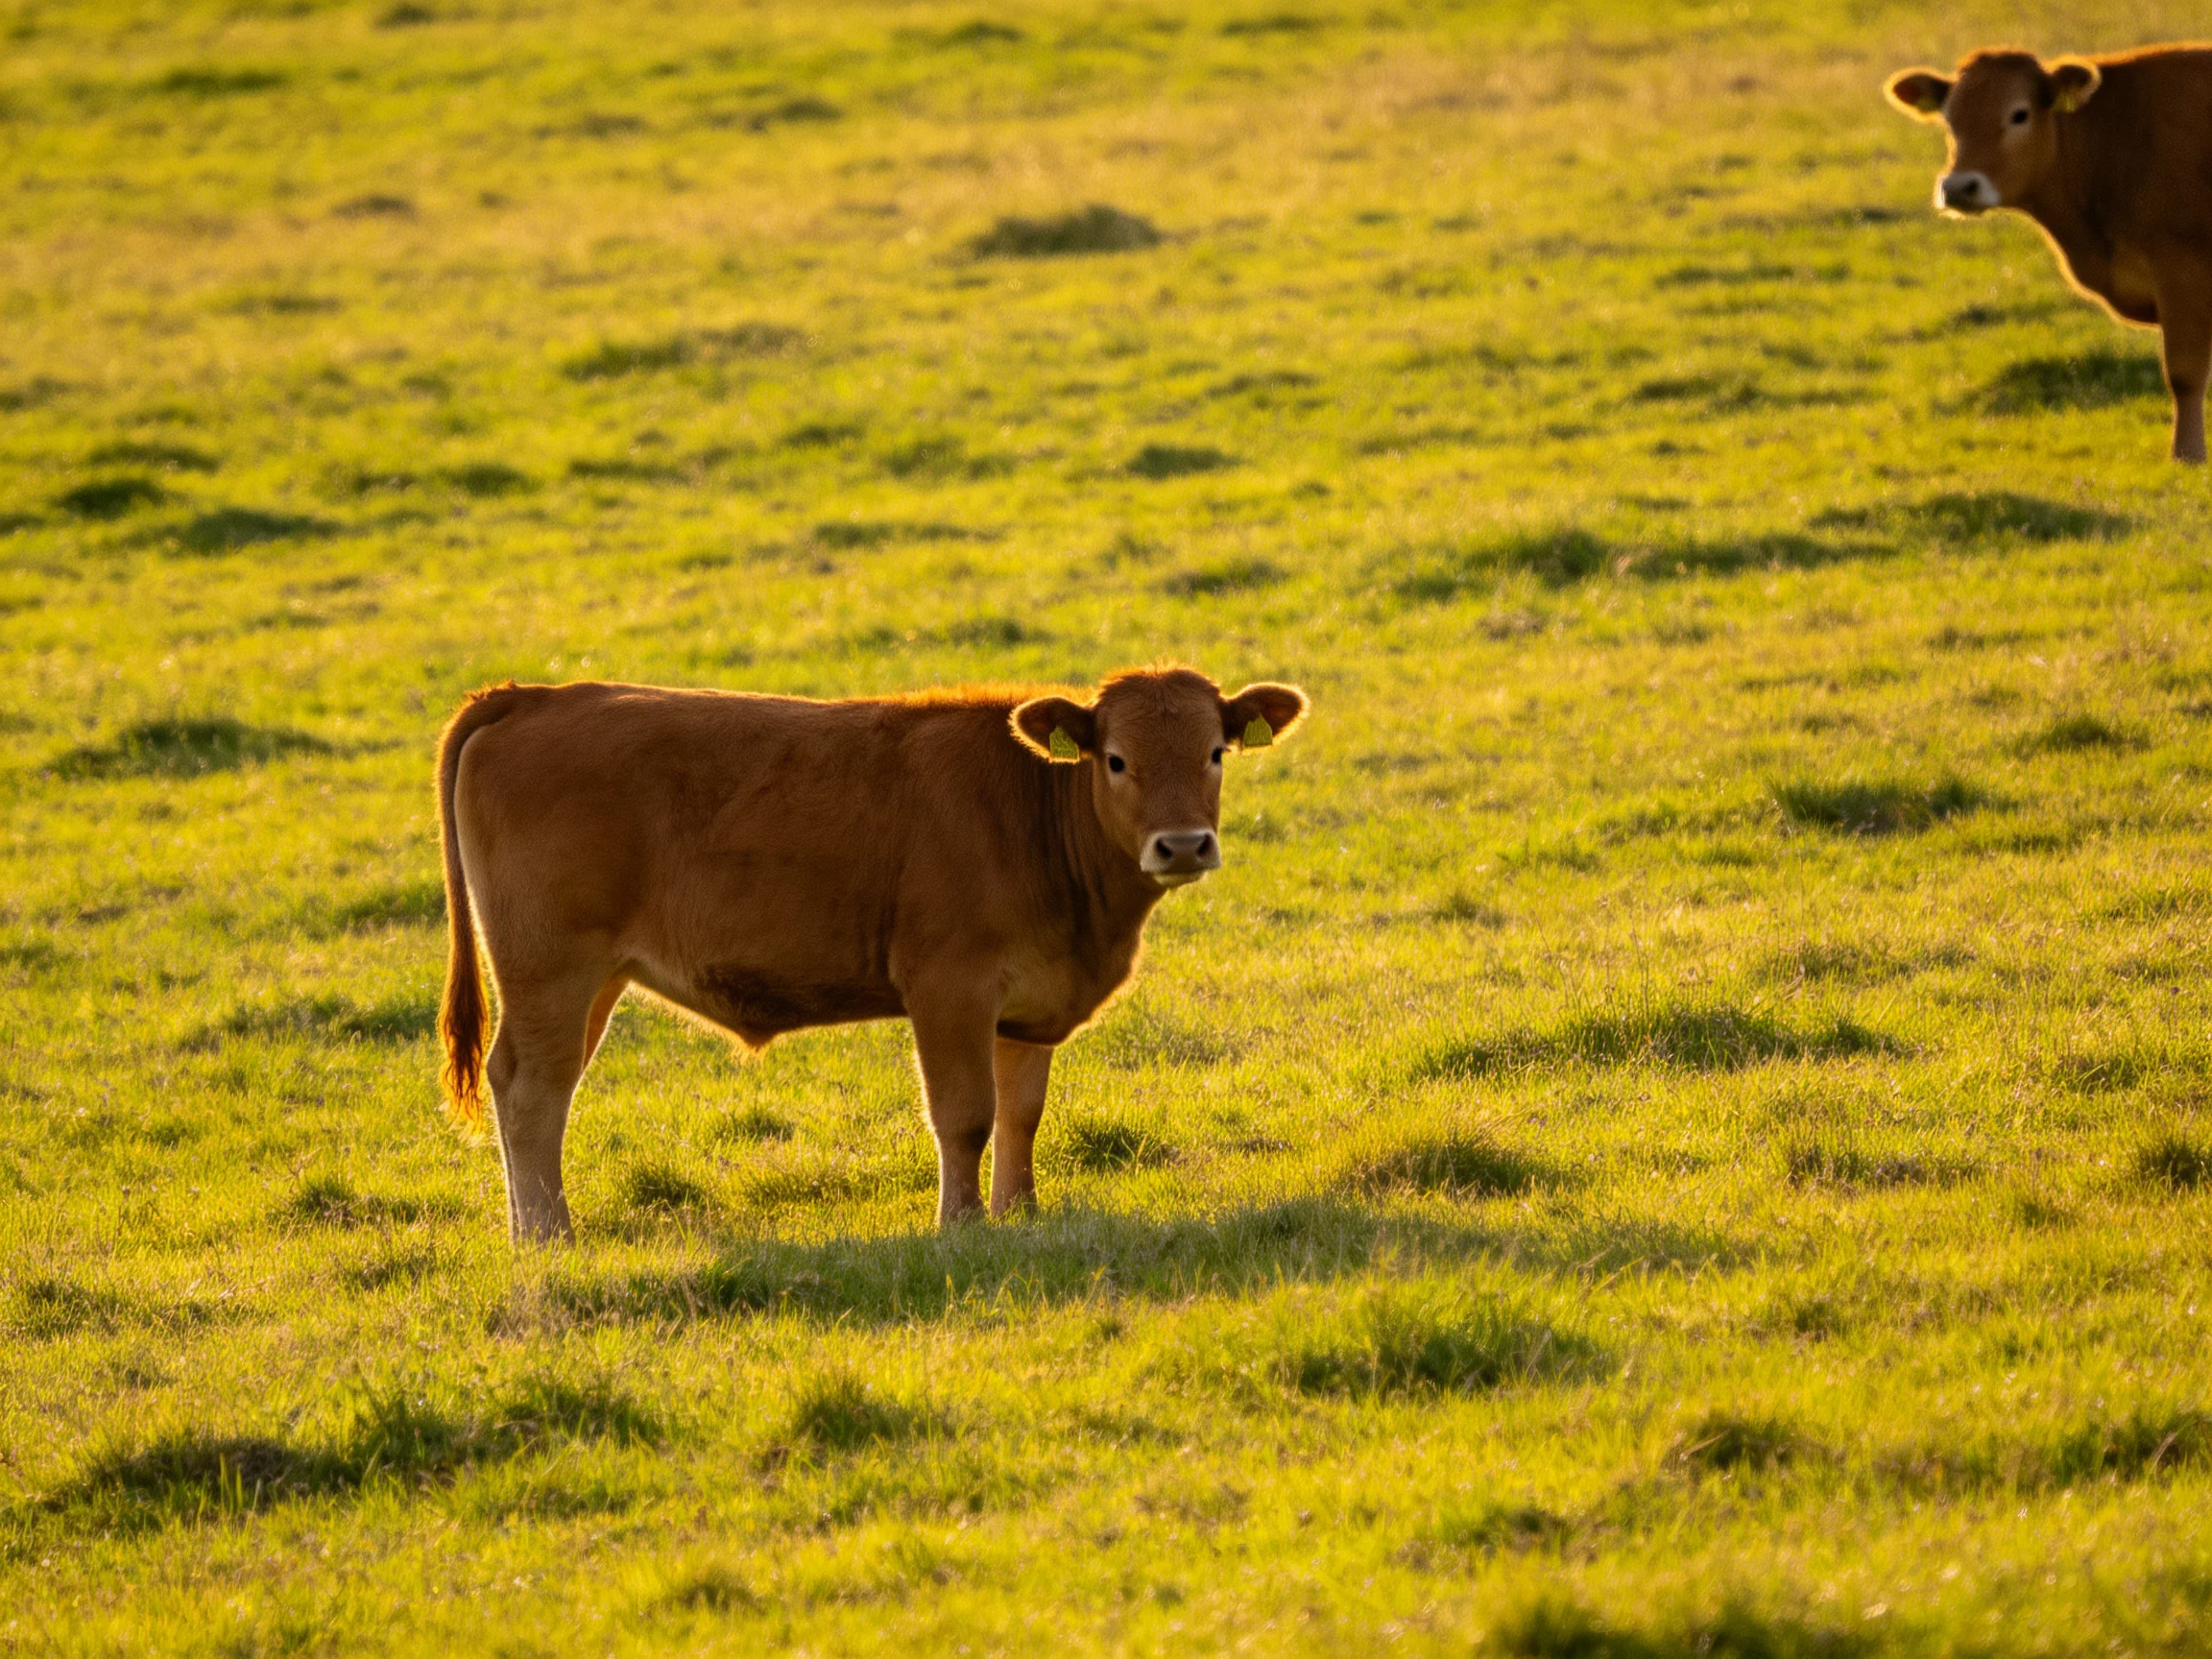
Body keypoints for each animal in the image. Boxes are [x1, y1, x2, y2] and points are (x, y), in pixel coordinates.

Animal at [434, 666, 1309, 1243]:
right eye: (1117, 759)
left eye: (1216, 752)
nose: (1183, 845)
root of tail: (536, 695)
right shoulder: (949, 987)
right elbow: (965, 1114)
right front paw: (961, 1225)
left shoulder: (1026, 1004)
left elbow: (1022, 1112)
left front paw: (1019, 1214)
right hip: (550, 966)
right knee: (534, 1087)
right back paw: (548, 1235)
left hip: (591, 982)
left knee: (532, 1084)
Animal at [1884, 44, 2212, 462]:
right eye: (1949, 117)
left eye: (2019, 114)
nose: (1959, 187)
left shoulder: (2182, 273)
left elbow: (2184, 374)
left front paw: (2188, 456)